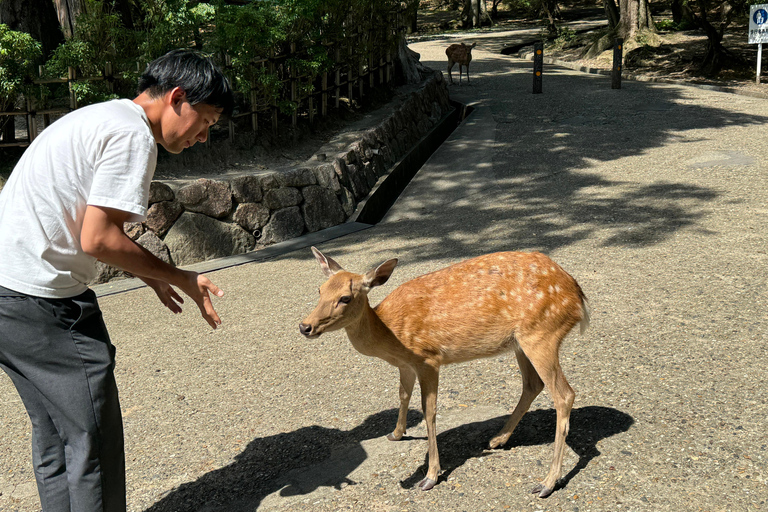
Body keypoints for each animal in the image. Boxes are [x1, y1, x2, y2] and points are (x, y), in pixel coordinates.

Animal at [298, 247, 588, 496]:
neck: (391, 334)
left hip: (541, 333)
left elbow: (429, 411)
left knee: (564, 394)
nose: (305, 326)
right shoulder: (406, 365)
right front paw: (396, 434)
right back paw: (497, 439)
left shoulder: (428, 358)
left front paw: (430, 476)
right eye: (320, 289)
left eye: (345, 298)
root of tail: (578, 296)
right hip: (520, 342)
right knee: (532, 385)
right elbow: (402, 395)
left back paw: (547, 483)